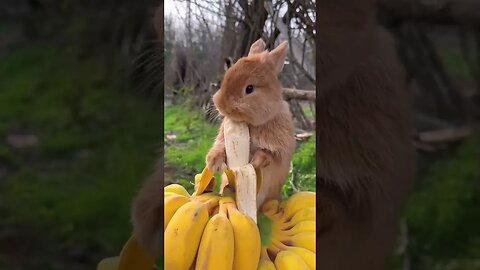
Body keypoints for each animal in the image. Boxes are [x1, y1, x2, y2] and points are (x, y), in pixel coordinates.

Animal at [203, 38, 296, 207]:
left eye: (250, 88)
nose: (222, 106)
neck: (250, 124)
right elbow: (219, 147)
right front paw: (214, 162)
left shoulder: (281, 151)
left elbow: (269, 155)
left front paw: (256, 161)